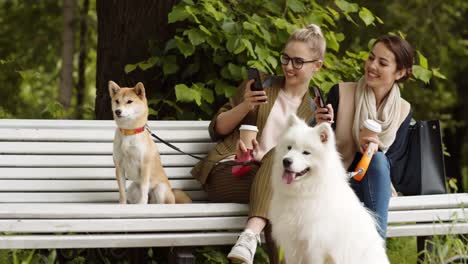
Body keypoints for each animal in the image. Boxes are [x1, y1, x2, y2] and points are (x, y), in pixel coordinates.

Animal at [268, 115, 390, 264]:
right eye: (289, 148)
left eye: (306, 153)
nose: (286, 161)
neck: (305, 193)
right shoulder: (291, 244)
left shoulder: (315, 247)